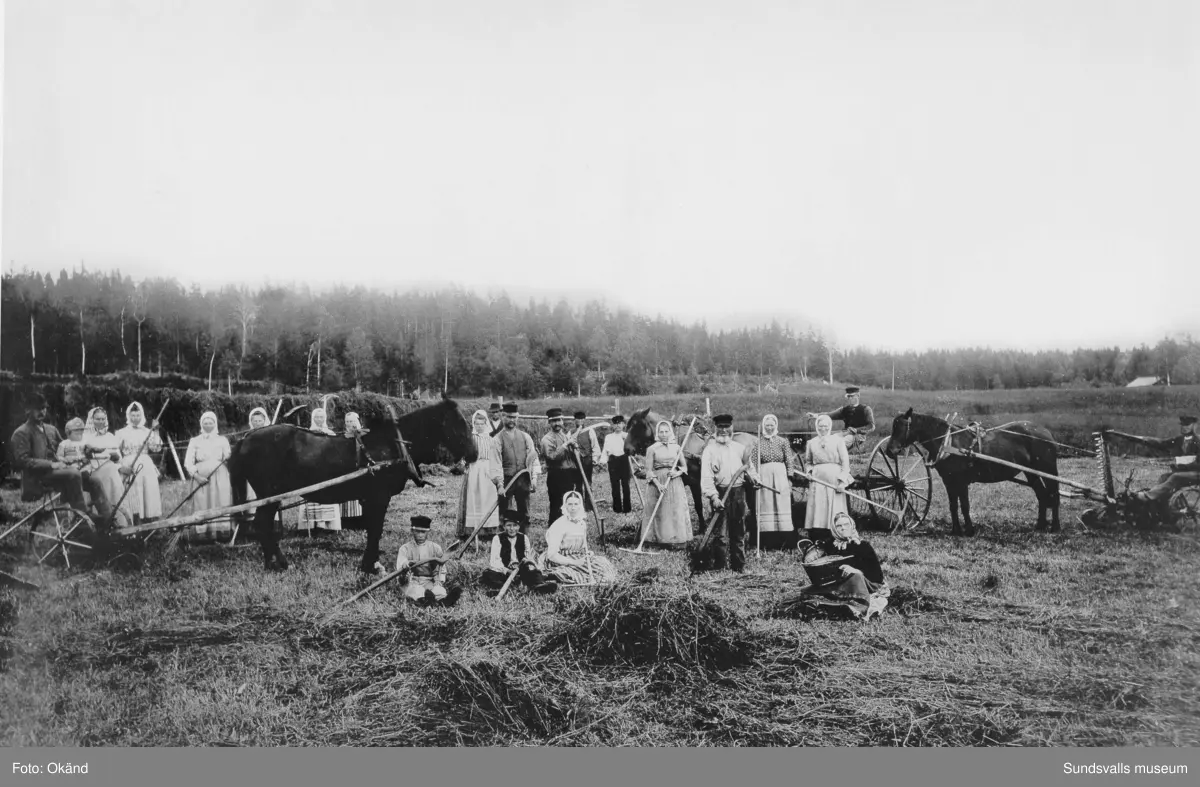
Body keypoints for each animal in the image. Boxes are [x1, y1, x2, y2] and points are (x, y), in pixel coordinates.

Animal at [226, 400, 475, 571]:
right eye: (458, 424)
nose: (474, 452)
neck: (393, 444)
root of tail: (245, 439)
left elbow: (373, 529)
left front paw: (370, 562)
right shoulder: (379, 496)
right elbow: (375, 529)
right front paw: (371, 565)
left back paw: (273, 561)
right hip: (269, 494)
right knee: (262, 524)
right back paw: (278, 563)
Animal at [883, 412, 1060, 535]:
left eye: (902, 427)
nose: (889, 451)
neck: (949, 443)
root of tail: (1045, 432)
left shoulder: (961, 482)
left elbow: (965, 505)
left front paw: (969, 530)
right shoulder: (949, 481)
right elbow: (953, 506)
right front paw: (956, 530)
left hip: (1048, 469)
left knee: (1053, 494)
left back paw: (1055, 527)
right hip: (1032, 473)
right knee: (1042, 495)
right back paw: (1040, 526)